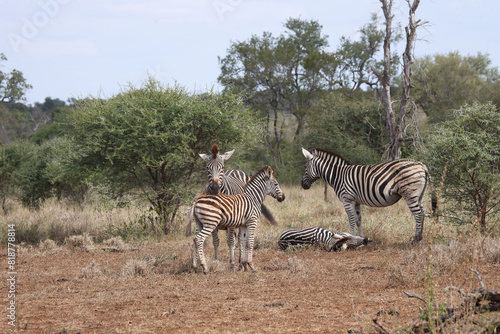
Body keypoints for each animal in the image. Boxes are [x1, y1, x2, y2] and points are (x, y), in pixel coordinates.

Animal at [300, 147, 434, 244]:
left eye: (305, 167)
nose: (303, 185)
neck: (338, 176)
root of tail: (421, 165)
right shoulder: (356, 201)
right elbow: (358, 220)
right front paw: (362, 238)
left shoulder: (347, 199)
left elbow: (351, 219)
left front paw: (352, 238)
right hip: (419, 195)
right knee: (422, 213)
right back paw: (420, 237)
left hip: (410, 194)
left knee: (418, 214)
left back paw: (415, 239)